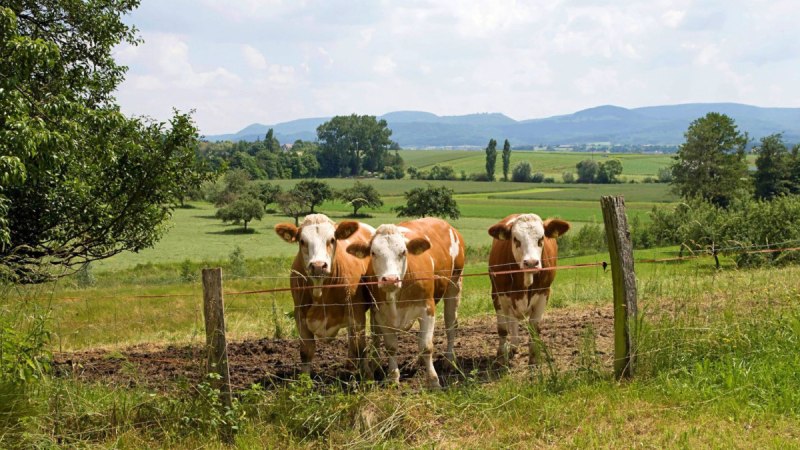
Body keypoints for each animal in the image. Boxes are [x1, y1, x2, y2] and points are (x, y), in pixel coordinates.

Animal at [274, 214, 375, 377]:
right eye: (302, 241)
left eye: (332, 239)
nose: (318, 266)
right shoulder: (300, 314)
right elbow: (306, 351)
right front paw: (305, 379)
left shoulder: (357, 312)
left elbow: (361, 347)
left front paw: (367, 377)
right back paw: (350, 364)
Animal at [345, 218, 465, 388]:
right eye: (373, 253)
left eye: (403, 252)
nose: (390, 279)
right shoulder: (381, 314)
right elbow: (391, 347)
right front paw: (392, 377)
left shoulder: (427, 309)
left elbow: (426, 346)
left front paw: (433, 381)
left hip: (454, 285)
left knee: (450, 324)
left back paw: (449, 360)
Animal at [487, 213, 570, 365]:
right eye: (515, 239)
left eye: (541, 238)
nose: (531, 263)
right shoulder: (498, 294)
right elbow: (503, 329)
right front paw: (501, 358)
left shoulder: (544, 294)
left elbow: (534, 328)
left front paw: (534, 357)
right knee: (511, 323)